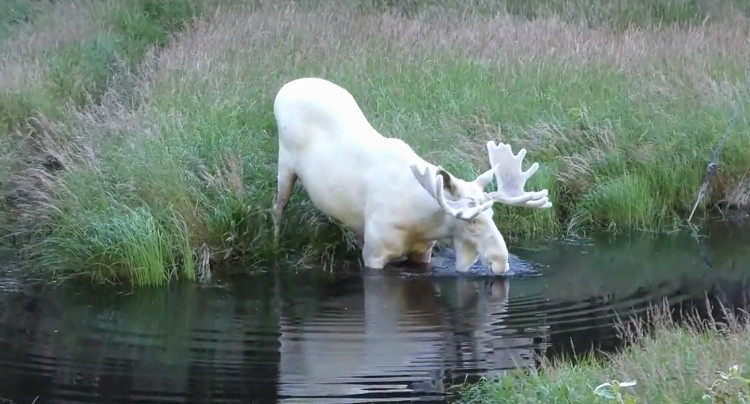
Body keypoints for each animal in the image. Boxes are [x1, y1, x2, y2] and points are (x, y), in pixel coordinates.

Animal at [271, 77, 552, 275]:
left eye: (492, 214)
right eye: (472, 221)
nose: (501, 262)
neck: (422, 221)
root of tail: (283, 89)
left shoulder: (423, 251)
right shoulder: (374, 253)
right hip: (285, 163)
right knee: (277, 207)